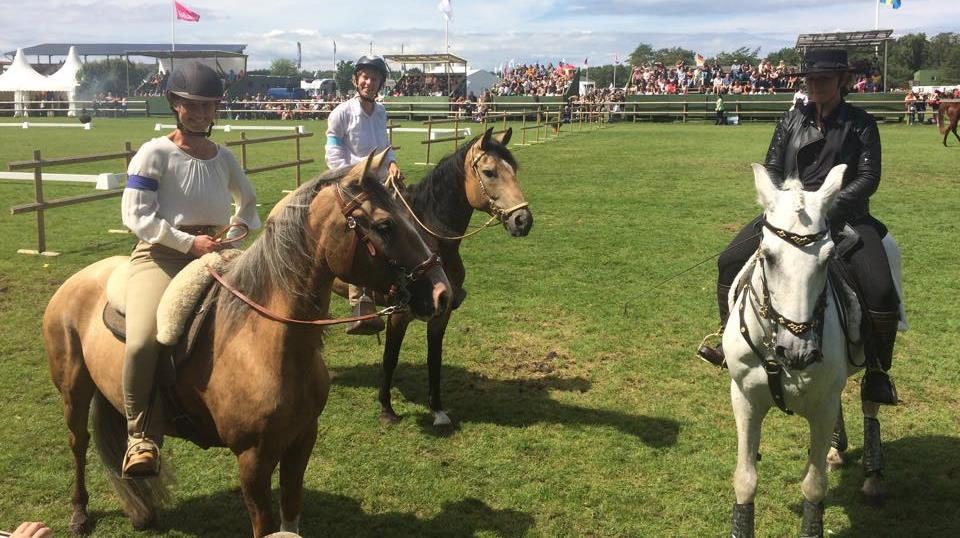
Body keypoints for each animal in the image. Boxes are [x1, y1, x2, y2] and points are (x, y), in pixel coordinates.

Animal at [42, 148, 454, 536]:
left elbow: (291, 513)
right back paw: (79, 514)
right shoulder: (252, 460)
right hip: (74, 392)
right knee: (78, 444)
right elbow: (265, 524)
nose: (442, 294)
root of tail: (78, 279)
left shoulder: (301, 440)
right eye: (385, 225)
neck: (263, 342)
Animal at [332, 125, 532, 422]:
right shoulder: (399, 314)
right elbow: (390, 358)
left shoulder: (442, 312)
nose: (523, 220)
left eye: (514, 169)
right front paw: (386, 409)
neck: (431, 241)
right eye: (489, 172)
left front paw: (437, 409)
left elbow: (434, 358)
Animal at [724, 163, 904, 536]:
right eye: (768, 256)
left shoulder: (820, 407)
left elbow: (814, 486)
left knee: (870, 400)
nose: (798, 351)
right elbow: (745, 480)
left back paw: (873, 475)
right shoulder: (745, 400)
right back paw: (837, 451)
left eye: (828, 258)